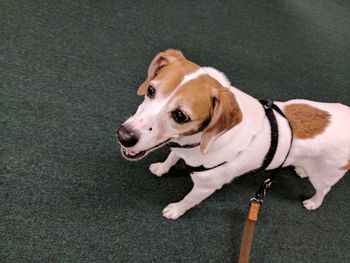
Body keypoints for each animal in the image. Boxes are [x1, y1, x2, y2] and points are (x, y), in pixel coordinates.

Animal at [117, 49, 350, 221]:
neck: (195, 143)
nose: (123, 136)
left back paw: (313, 202)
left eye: (180, 116)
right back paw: (301, 169)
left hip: (325, 176)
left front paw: (175, 210)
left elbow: (188, 200)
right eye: (150, 90)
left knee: (323, 191)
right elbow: (172, 156)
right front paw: (162, 167)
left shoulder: (206, 187)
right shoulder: (179, 148)